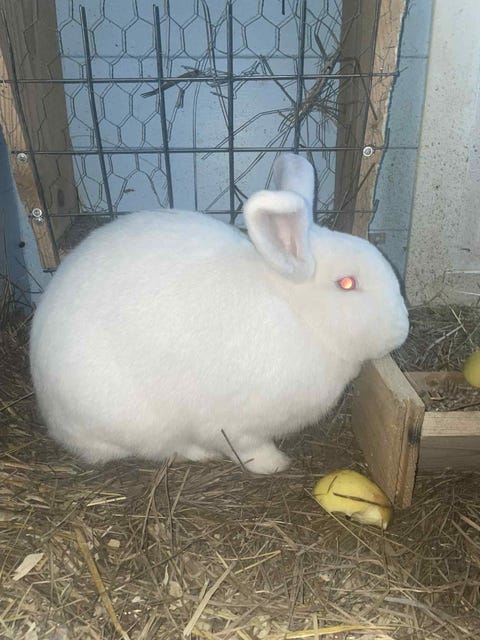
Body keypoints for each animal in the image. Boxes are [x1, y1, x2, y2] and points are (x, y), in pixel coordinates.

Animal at [30, 154, 409, 474]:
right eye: (347, 283)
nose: (402, 329)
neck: (297, 314)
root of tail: (51, 414)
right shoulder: (237, 424)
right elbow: (249, 448)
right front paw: (276, 464)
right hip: (131, 419)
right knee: (157, 448)